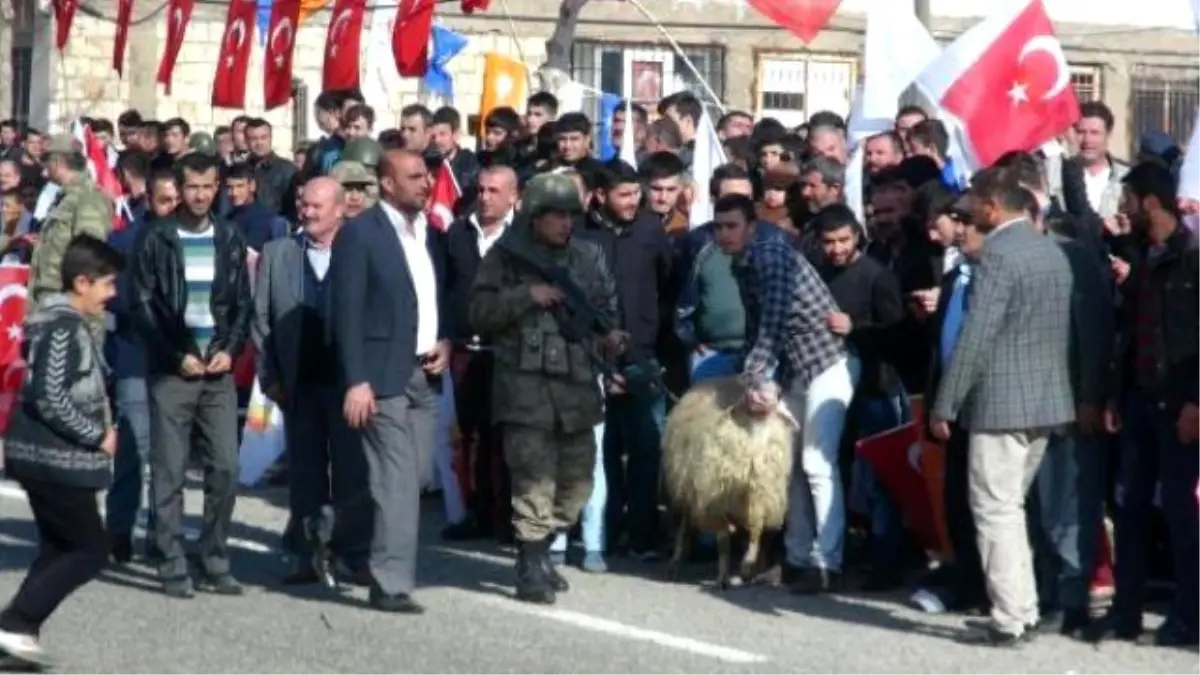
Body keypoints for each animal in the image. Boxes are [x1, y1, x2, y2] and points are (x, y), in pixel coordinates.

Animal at [667, 374, 796, 586]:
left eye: (777, 391)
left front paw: (747, 567)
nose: (764, 388)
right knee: (684, 528)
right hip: (688, 487)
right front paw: (723, 578)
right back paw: (676, 563)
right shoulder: (714, 503)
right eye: (750, 389)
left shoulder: (758, 501)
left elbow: (755, 534)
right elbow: (723, 540)